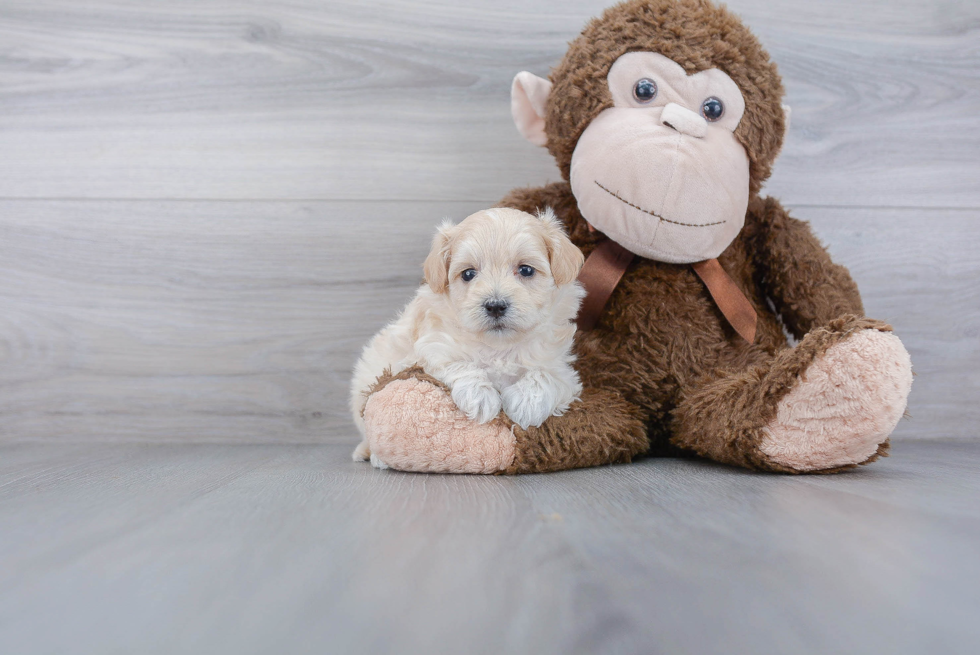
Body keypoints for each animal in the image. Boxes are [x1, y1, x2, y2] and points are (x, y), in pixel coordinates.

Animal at [350, 208, 580, 468]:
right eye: (468, 274)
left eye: (526, 270)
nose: (495, 305)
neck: (499, 347)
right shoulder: (429, 349)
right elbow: (459, 365)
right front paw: (480, 398)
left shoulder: (561, 368)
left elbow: (546, 376)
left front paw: (525, 404)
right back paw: (373, 455)